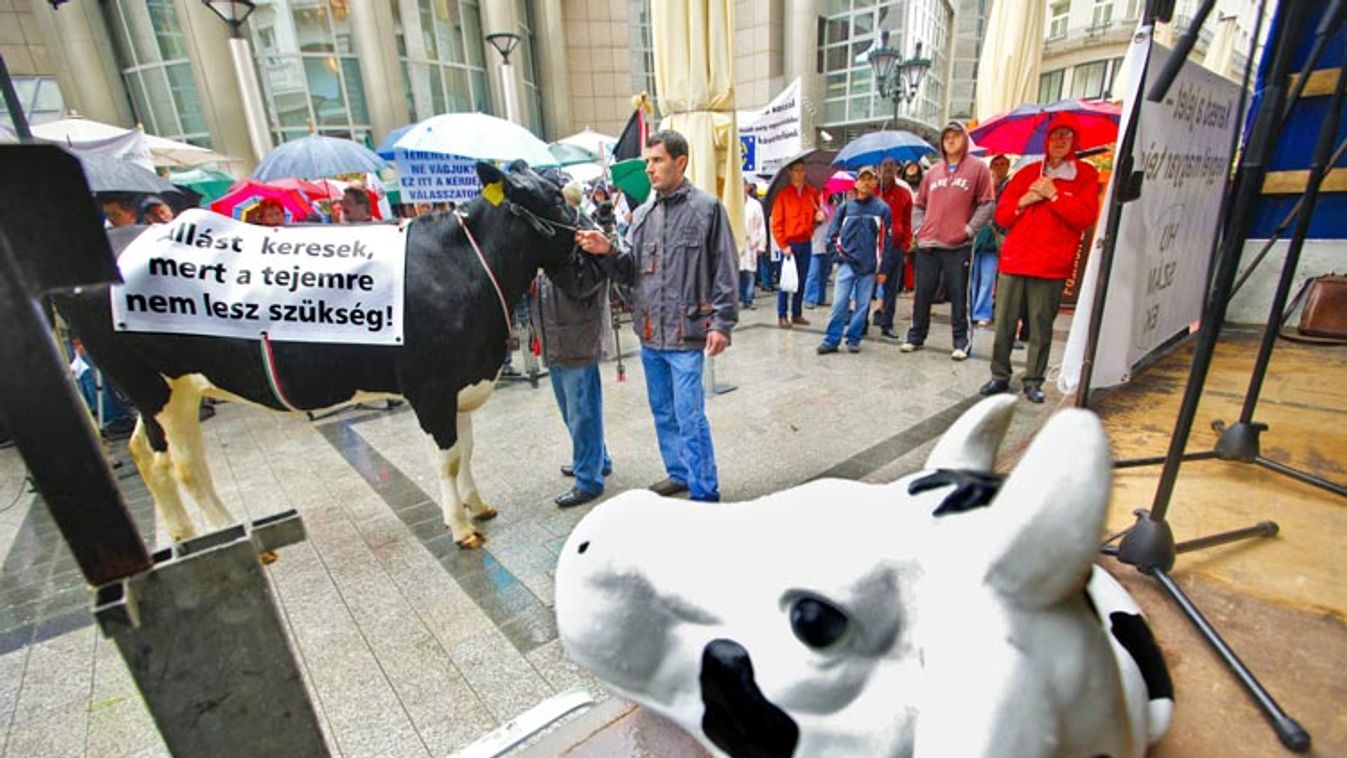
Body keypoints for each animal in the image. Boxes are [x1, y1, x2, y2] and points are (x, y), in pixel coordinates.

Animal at [57, 162, 584, 549]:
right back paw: (236, 539)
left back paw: (189, 537)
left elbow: (466, 450)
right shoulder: (431, 387)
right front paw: (460, 527)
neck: (467, 263)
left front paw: (478, 507)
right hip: (156, 386)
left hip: (165, 391)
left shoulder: (462, 381)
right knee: (181, 465)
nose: (594, 236)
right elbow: (447, 460)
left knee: (152, 456)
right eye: (559, 200)